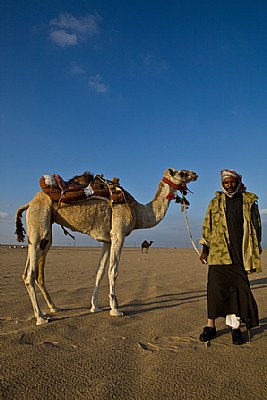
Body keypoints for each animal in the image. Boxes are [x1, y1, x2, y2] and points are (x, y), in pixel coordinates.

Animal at [15, 167, 198, 324]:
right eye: (182, 173)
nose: (195, 174)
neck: (137, 212)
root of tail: (29, 203)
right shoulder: (118, 234)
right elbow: (113, 271)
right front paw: (115, 309)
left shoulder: (107, 240)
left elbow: (100, 272)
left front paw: (95, 307)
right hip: (39, 222)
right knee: (29, 275)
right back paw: (40, 317)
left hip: (43, 232)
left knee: (34, 270)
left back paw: (54, 308)